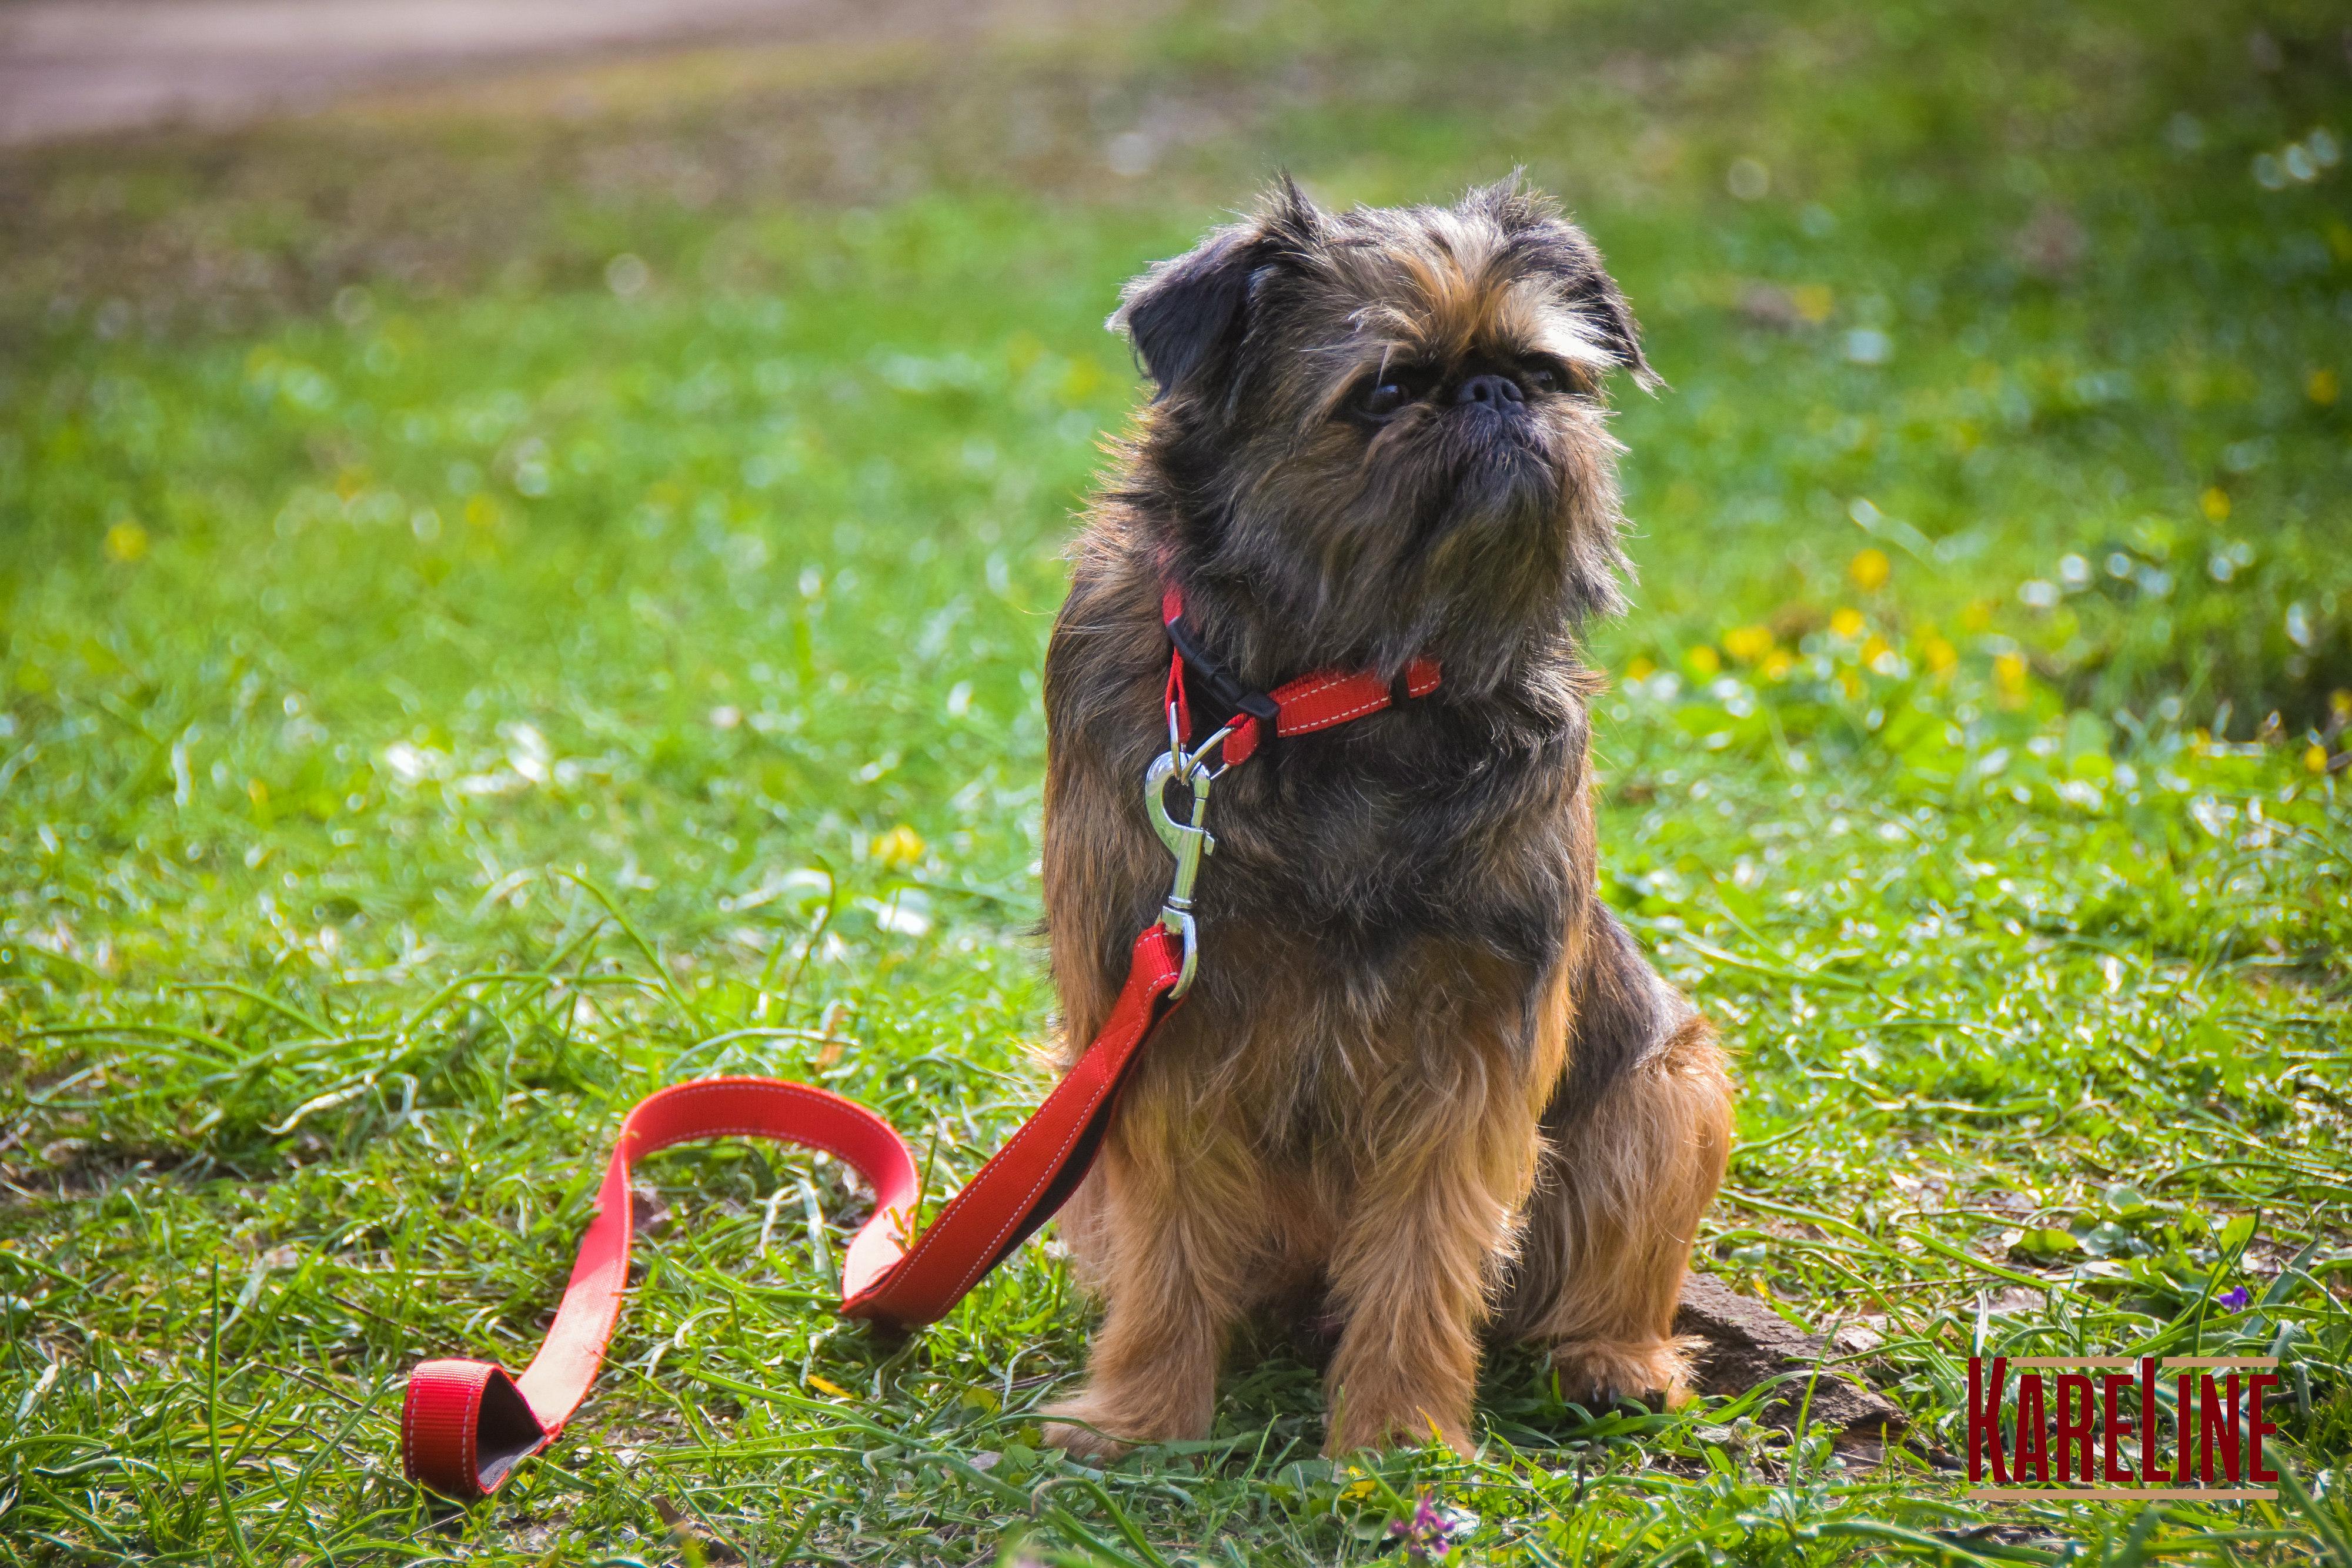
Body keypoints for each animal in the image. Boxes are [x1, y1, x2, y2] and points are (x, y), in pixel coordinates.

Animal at [1040, 180, 1740, 1457]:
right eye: (1384, 389)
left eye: (1545, 371)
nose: (1494, 394)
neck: (1344, 690)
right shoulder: (1154, 1029)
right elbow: (1170, 1241)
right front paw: (1144, 1415)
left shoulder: (1470, 1047)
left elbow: (1427, 1245)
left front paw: (1396, 1437)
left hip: (1670, 1091)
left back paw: (1615, 1360)